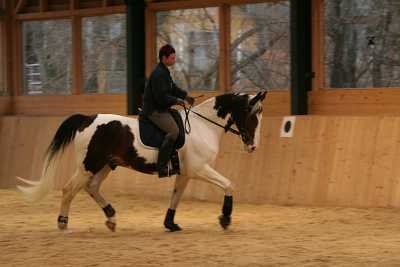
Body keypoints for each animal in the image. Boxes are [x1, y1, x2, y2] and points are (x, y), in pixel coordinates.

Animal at [16, 91, 266, 232]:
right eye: (252, 116)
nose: (253, 146)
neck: (203, 125)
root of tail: (87, 119)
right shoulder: (199, 169)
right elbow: (229, 184)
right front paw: (225, 218)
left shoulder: (185, 173)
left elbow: (176, 197)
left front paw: (170, 224)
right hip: (89, 165)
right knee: (69, 190)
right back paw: (62, 222)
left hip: (106, 165)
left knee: (92, 187)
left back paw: (111, 217)